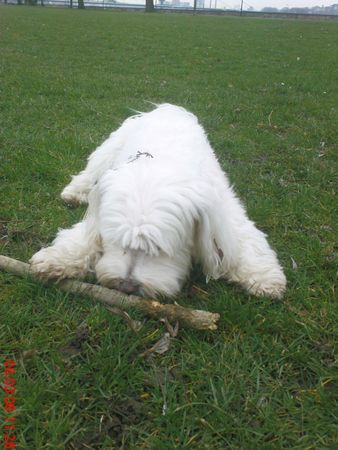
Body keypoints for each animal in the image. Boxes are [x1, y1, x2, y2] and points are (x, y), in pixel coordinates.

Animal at [30, 103, 286, 298]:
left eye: (160, 249)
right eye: (116, 242)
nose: (127, 286)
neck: (163, 166)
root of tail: (169, 108)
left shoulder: (224, 209)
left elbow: (244, 241)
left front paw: (263, 277)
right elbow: (83, 239)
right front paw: (57, 259)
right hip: (107, 152)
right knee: (89, 172)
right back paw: (74, 192)